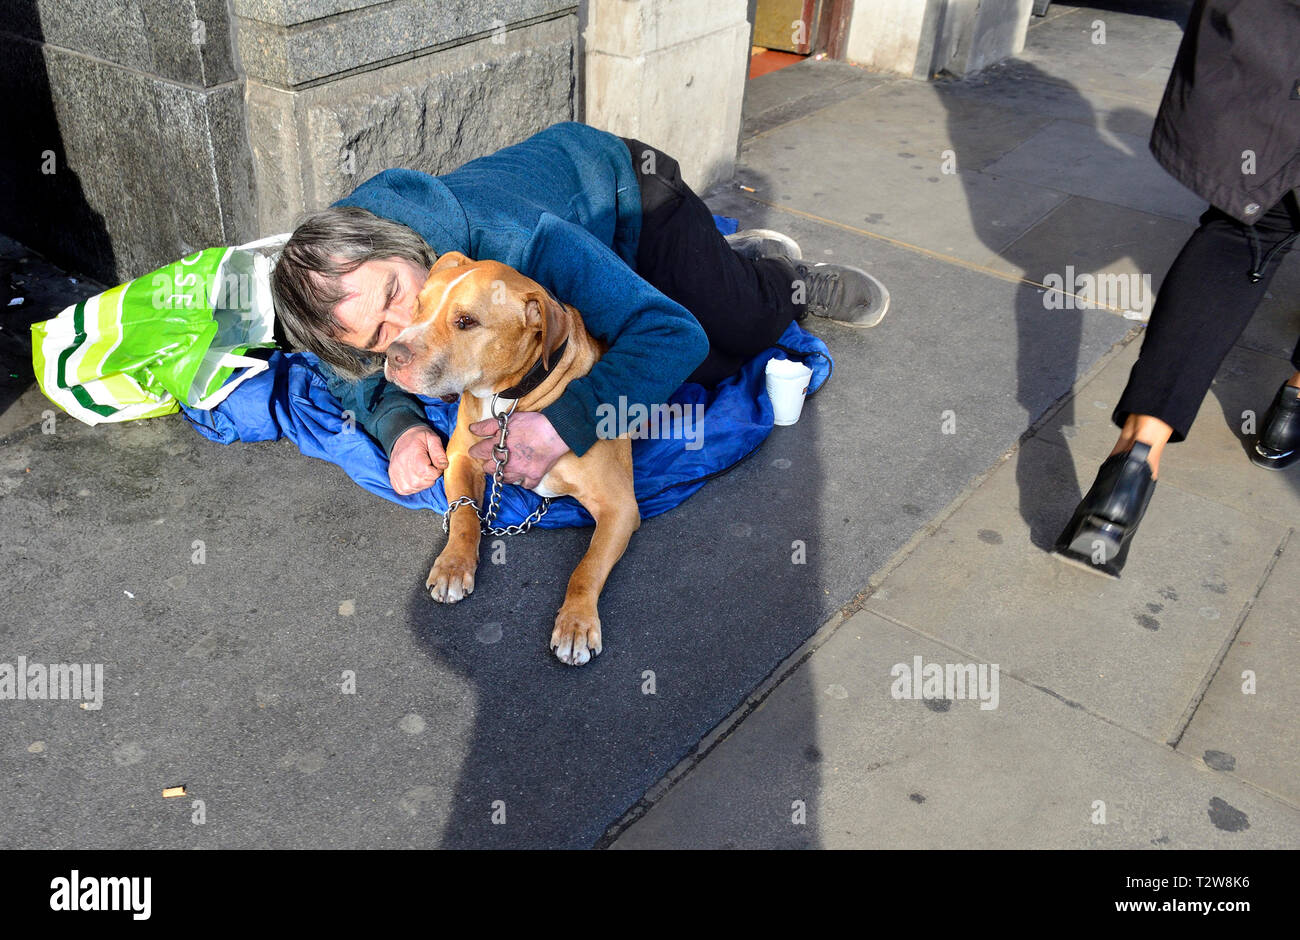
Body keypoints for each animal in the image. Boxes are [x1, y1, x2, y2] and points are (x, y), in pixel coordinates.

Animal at [379, 248, 639, 663]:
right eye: (418, 307)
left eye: (466, 321)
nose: (394, 353)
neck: (507, 399)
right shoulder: (461, 458)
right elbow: (465, 515)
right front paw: (454, 564)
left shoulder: (620, 506)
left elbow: (588, 567)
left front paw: (577, 623)